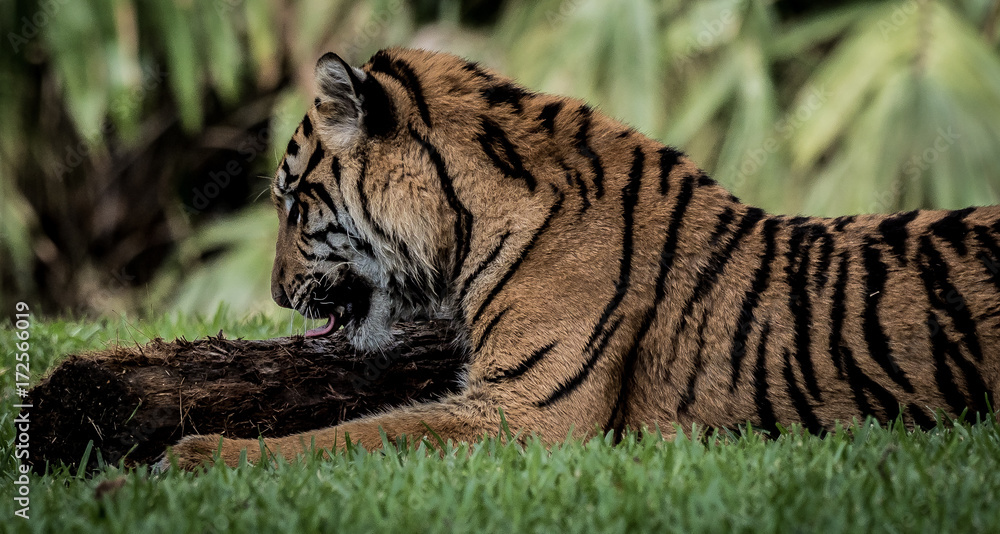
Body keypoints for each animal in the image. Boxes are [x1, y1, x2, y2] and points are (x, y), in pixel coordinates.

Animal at [166, 47, 1000, 469]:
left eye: (291, 203)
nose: (277, 294)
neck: (467, 226)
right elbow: (357, 414)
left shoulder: (527, 416)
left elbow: (363, 432)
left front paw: (191, 453)